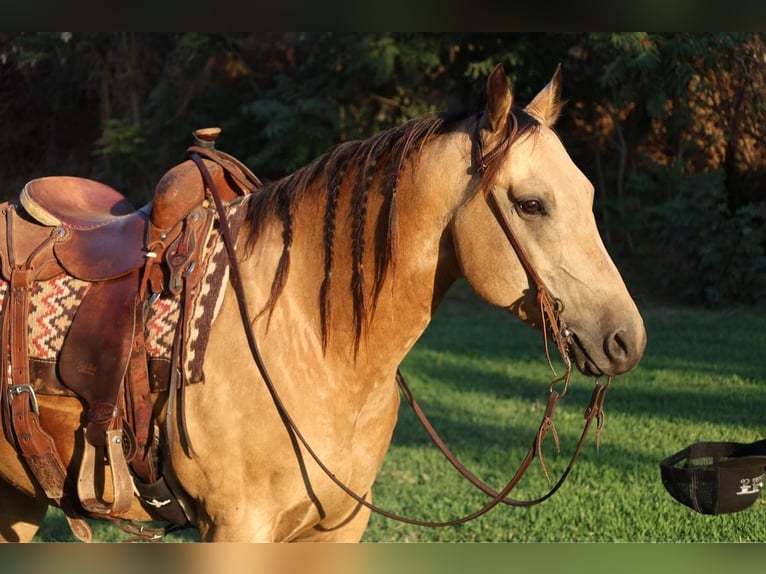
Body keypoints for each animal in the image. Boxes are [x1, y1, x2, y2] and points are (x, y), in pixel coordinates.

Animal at [0, 64, 648, 544]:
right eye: (531, 204)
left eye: (587, 194)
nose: (626, 340)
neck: (313, 342)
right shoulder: (237, 529)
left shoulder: (338, 527)